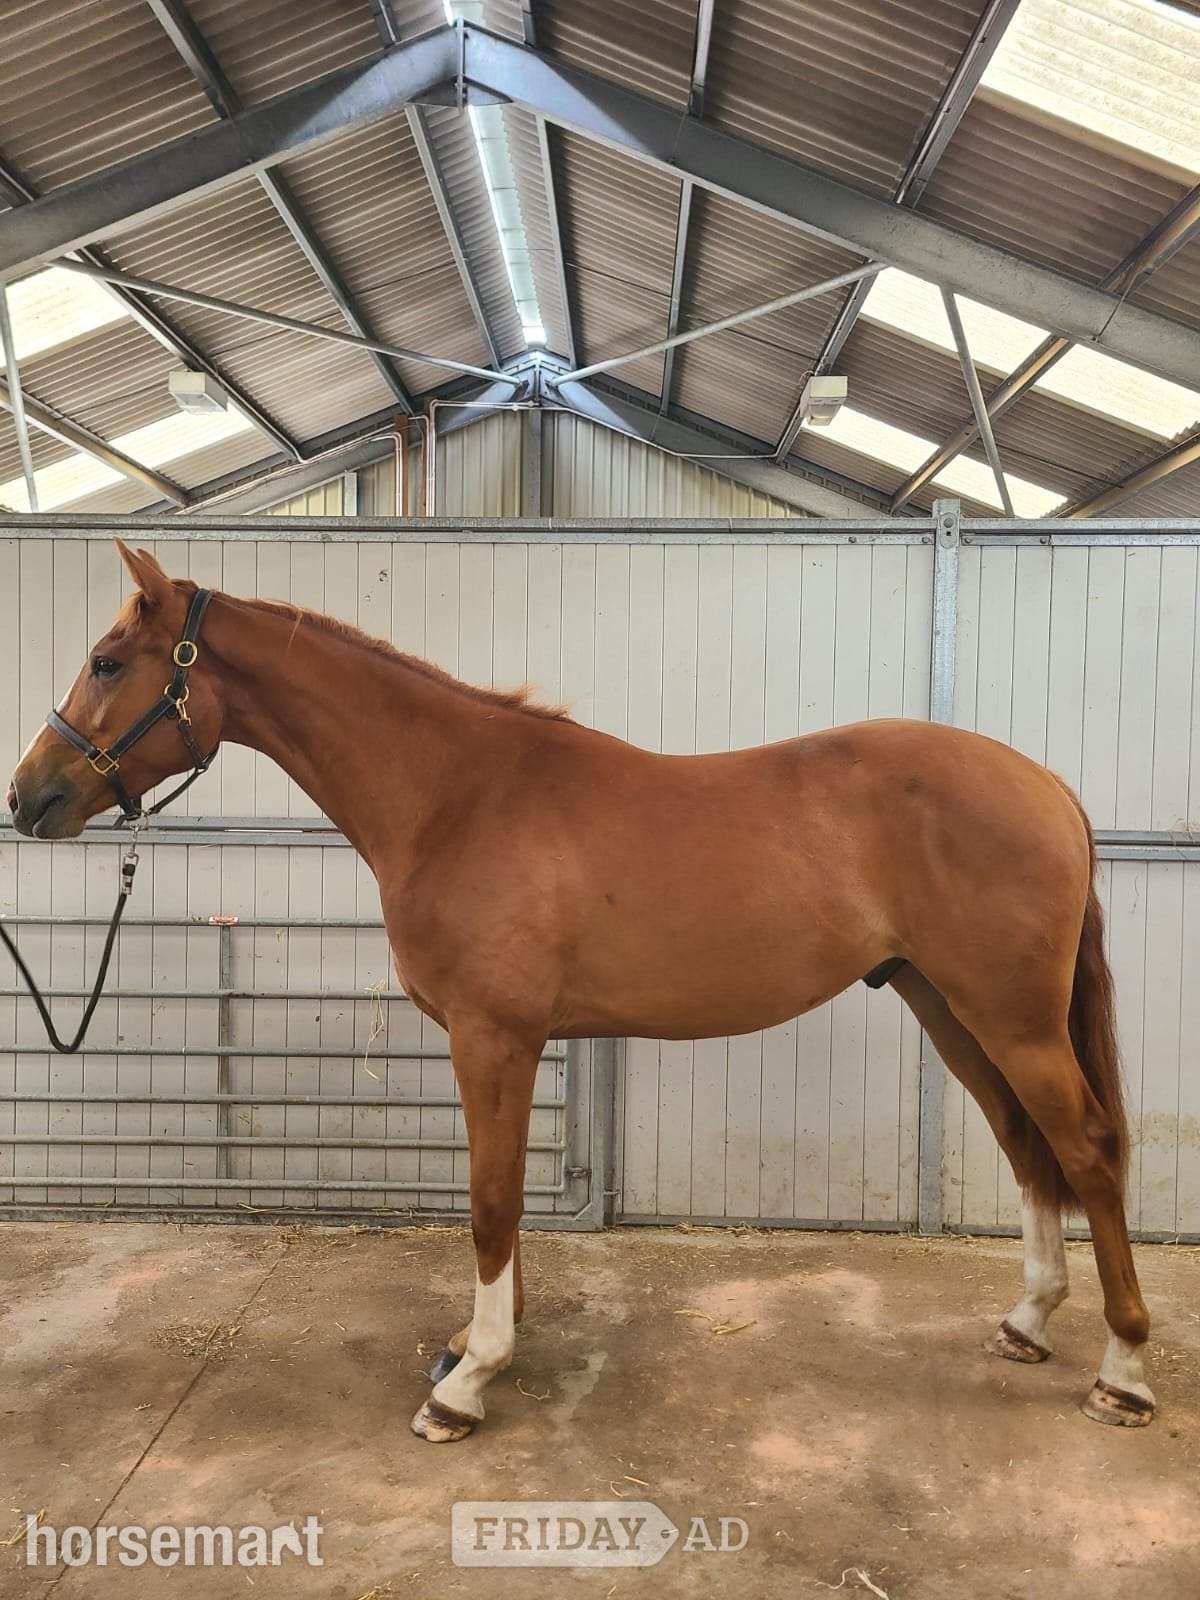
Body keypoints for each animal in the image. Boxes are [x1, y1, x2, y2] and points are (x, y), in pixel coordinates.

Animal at [6, 539, 1154, 1441]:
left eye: (108, 660)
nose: (27, 797)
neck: (458, 795)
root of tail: (1046, 785)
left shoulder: (494, 1036)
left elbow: (491, 1201)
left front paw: (466, 1384)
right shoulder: (503, 1040)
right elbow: (502, 1201)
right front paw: (475, 1341)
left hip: (1009, 1015)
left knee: (1090, 1150)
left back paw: (1125, 1373)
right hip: (949, 1006)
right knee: (1028, 1147)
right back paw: (1026, 1325)